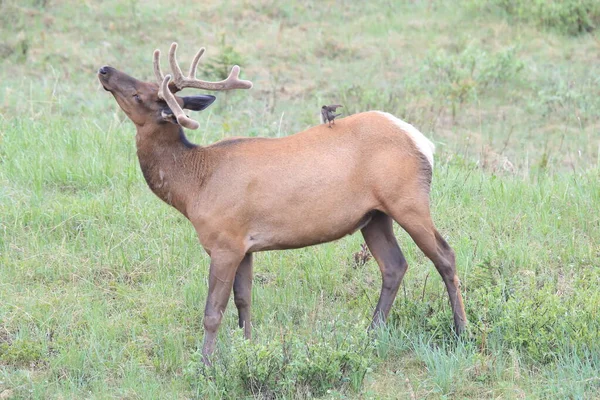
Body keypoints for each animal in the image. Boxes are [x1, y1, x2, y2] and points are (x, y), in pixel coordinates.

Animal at [97, 43, 468, 362]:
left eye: (141, 95)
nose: (104, 69)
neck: (193, 187)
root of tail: (423, 143)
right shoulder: (245, 246)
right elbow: (244, 302)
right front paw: (247, 350)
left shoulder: (224, 241)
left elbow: (213, 312)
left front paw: (206, 364)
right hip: (374, 215)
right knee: (394, 265)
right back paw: (371, 334)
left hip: (408, 199)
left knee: (445, 256)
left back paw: (461, 333)